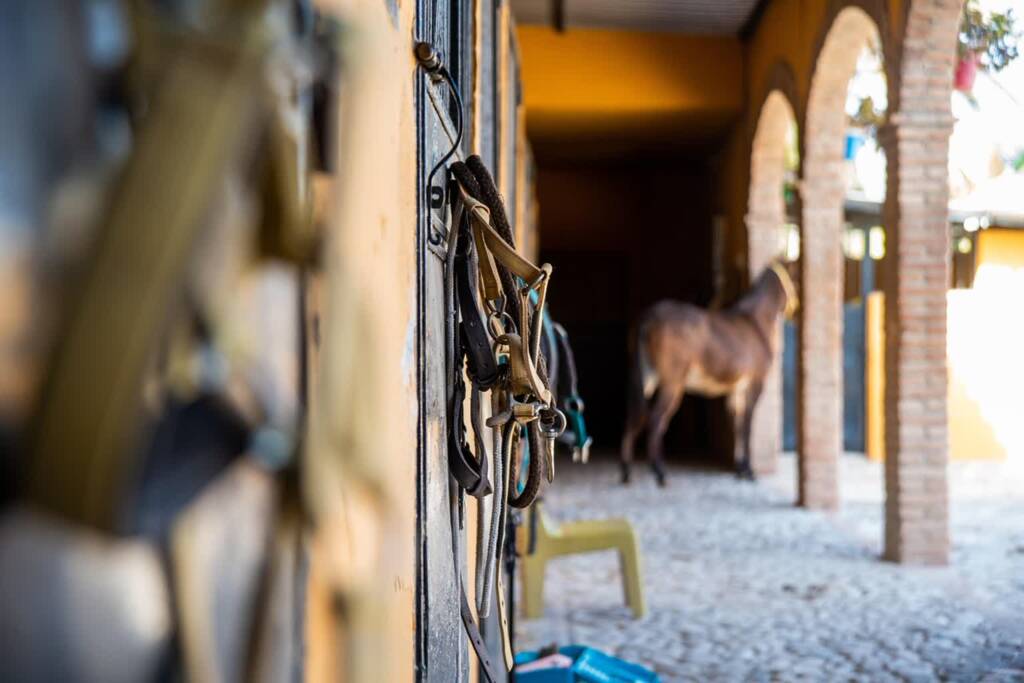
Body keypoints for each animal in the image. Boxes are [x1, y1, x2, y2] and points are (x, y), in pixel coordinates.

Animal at [619, 262, 798, 486]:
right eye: (794, 278)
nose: (795, 310)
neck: (755, 323)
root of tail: (648, 316)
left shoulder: (736, 389)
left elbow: (737, 426)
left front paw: (739, 470)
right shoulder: (756, 383)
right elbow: (747, 425)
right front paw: (749, 472)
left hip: (647, 377)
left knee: (633, 418)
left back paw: (627, 472)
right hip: (672, 382)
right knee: (655, 420)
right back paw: (660, 473)